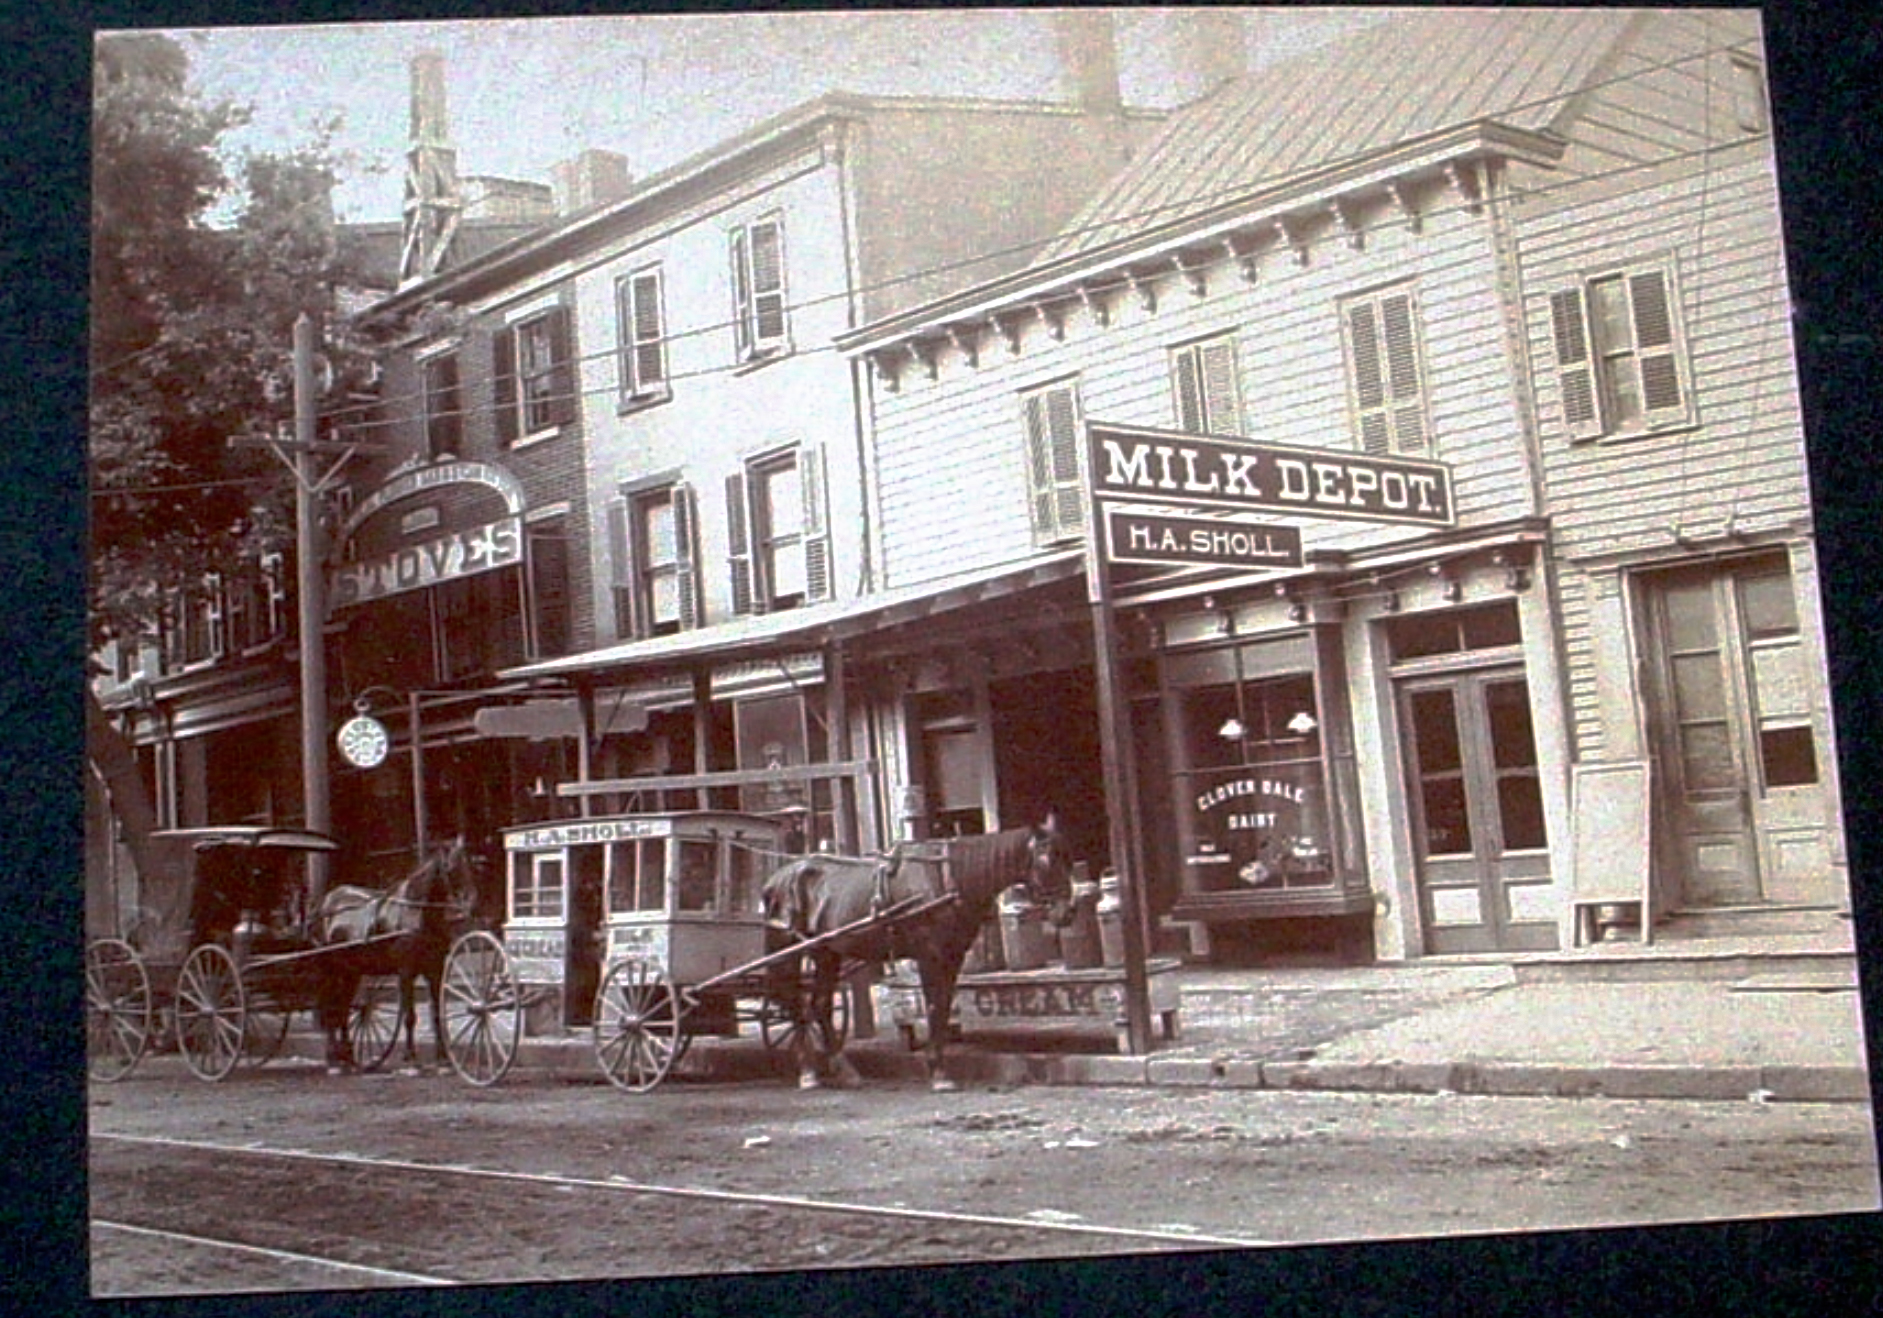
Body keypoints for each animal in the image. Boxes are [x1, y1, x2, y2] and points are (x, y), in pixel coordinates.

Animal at [314, 839, 478, 1076]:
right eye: (451, 867)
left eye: (471, 863)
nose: (472, 902)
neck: (416, 911)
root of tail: (326, 902)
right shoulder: (406, 972)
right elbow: (410, 1017)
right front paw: (411, 1060)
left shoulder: (435, 971)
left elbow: (437, 1015)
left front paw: (443, 1060)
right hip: (332, 970)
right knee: (331, 1007)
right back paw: (333, 1060)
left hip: (351, 971)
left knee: (343, 1008)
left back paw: (348, 1058)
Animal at [753, 824, 1077, 1092]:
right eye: (1048, 860)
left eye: (1068, 857)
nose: (1068, 911)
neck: (948, 878)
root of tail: (776, 878)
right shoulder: (929, 956)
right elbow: (933, 1006)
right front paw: (939, 1073)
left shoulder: (952, 957)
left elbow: (944, 1007)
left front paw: (939, 1065)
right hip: (792, 953)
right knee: (796, 1004)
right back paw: (808, 1072)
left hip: (826, 953)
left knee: (818, 1005)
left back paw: (844, 1070)